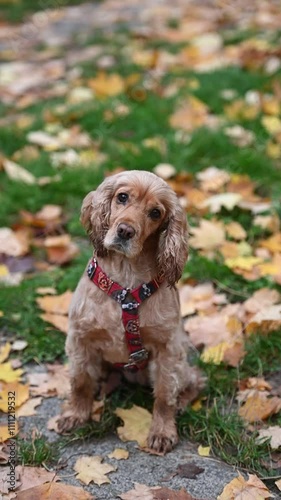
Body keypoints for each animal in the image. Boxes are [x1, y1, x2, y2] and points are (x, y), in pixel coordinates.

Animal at [57, 169, 203, 454]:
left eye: (156, 213)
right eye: (122, 197)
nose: (125, 231)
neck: (125, 282)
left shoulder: (168, 348)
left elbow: (164, 395)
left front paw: (162, 432)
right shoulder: (79, 338)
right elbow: (80, 382)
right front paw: (75, 415)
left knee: (196, 379)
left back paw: (183, 401)